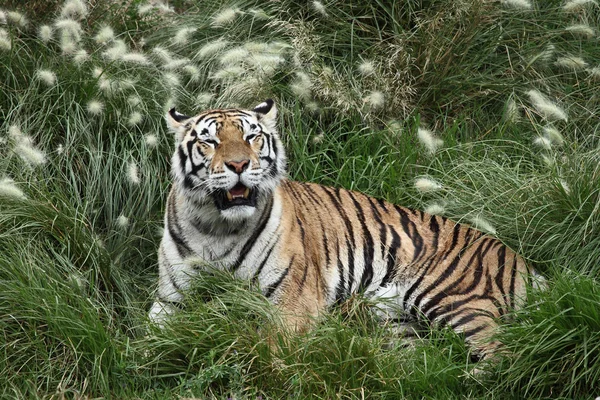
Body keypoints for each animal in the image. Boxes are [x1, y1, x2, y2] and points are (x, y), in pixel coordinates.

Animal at [148, 99, 540, 360]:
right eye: (210, 141)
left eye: (251, 138)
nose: (240, 164)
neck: (217, 228)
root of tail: (524, 263)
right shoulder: (170, 301)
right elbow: (144, 343)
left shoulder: (294, 303)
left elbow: (265, 347)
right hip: (394, 323)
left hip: (452, 294)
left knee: (502, 355)